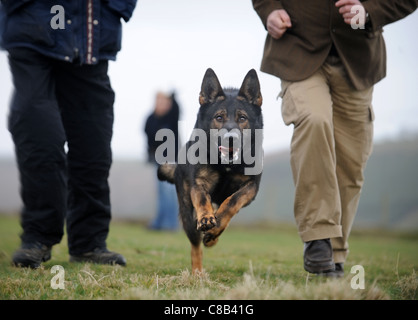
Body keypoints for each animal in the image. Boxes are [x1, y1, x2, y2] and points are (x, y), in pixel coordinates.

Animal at [158, 68, 262, 272]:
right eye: (219, 118)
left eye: (242, 118)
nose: (231, 139)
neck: (226, 165)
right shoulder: (199, 183)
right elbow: (202, 199)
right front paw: (206, 218)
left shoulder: (251, 187)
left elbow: (232, 201)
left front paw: (216, 226)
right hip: (187, 215)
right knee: (195, 245)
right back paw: (198, 271)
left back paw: (212, 236)